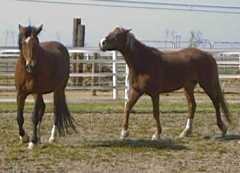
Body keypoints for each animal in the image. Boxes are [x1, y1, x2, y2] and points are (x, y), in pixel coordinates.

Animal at [99, 27, 231, 141]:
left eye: (117, 35)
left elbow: (156, 113)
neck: (143, 62)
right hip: (188, 87)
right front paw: (124, 133)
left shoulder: (154, 93)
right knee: (192, 105)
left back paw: (223, 129)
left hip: (207, 84)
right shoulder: (137, 91)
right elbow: (127, 108)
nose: (102, 43)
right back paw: (186, 132)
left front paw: (157, 134)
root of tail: (208, 55)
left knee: (216, 102)